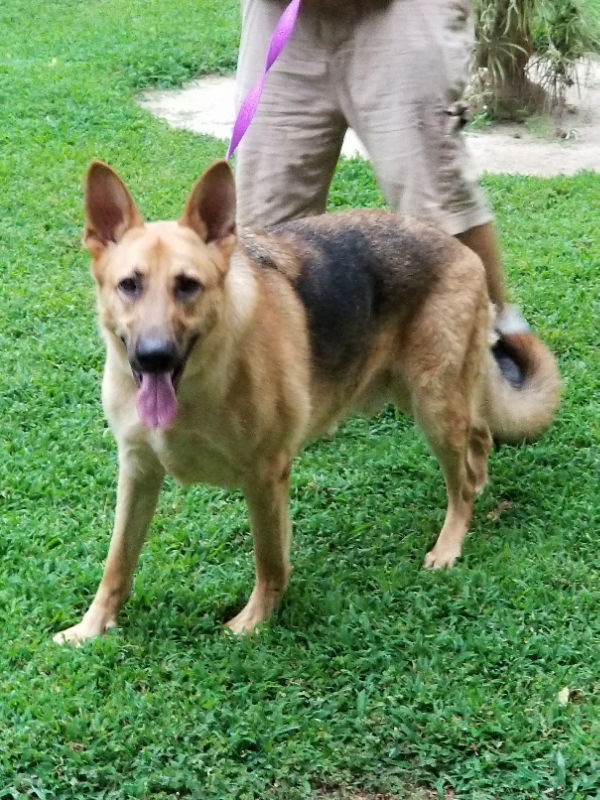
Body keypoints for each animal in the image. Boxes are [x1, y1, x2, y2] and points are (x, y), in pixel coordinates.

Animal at [52, 161, 564, 644]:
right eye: (129, 285)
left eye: (187, 285)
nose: (153, 356)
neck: (201, 380)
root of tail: (462, 249)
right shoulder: (138, 471)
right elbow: (117, 561)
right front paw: (92, 626)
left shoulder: (265, 477)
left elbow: (269, 561)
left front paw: (254, 622)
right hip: (423, 394)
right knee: (480, 440)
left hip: (434, 407)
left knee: (461, 483)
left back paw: (449, 544)